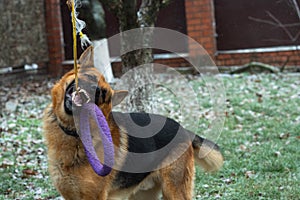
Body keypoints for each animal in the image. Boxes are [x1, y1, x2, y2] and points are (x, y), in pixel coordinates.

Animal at [44, 47, 223, 200]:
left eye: (103, 95)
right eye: (91, 78)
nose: (96, 91)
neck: (73, 135)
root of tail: (182, 128)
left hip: (174, 190)